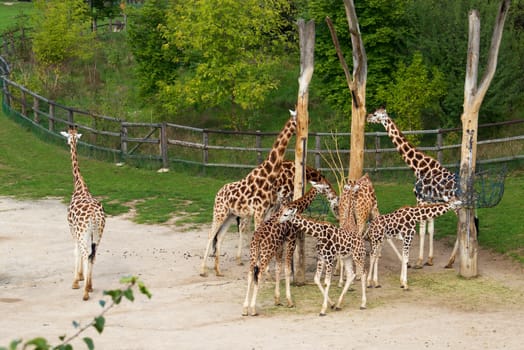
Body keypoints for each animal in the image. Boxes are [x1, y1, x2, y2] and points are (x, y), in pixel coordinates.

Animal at [60, 128, 105, 300]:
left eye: (67, 138)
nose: (68, 142)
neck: (79, 186)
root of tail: (95, 217)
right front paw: (81, 278)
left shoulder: (73, 230)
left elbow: (76, 251)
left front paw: (76, 281)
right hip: (98, 233)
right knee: (93, 255)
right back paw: (90, 287)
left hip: (84, 231)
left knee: (86, 254)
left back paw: (85, 292)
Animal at [202, 110, 296, 278]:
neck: (268, 176)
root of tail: (218, 193)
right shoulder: (259, 212)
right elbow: (259, 236)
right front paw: (260, 269)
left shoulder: (266, 212)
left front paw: (264, 269)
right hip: (219, 213)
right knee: (211, 235)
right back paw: (203, 270)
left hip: (230, 215)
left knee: (219, 237)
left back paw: (218, 270)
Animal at [244, 180, 334, 318]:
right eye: (327, 187)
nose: (334, 196)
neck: (296, 206)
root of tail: (257, 238)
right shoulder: (291, 239)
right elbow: (287, 269)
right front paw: (290, 301)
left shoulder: (280, 244)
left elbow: (278, 268)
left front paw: (277, 299)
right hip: (266, 253)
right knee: (258, 274)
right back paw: (253, 309)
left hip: (254, 253)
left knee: (250, 273)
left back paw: (245, 309)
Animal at [276, 185, 366, 316]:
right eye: (281, 212)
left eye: (286, 214)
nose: (277, 221)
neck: (319, 233)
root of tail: (362, 240)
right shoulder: (321, 257)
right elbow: (316, 279)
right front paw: (331, 304)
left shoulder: (329, 258)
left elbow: (327, 282)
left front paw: (323, 310)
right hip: (347, 257)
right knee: (351, 274)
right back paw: (339, 304)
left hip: (358, 255)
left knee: (363, 273)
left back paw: (363, 304)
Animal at [366, 108, 456, 270]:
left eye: (376, 114)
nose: (368, 117)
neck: (419, 167)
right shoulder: (429, 201)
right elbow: (430, 227)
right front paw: (430, 260)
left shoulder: (420, 198)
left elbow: (422, 229)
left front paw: (419, 262)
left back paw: (451, 261)